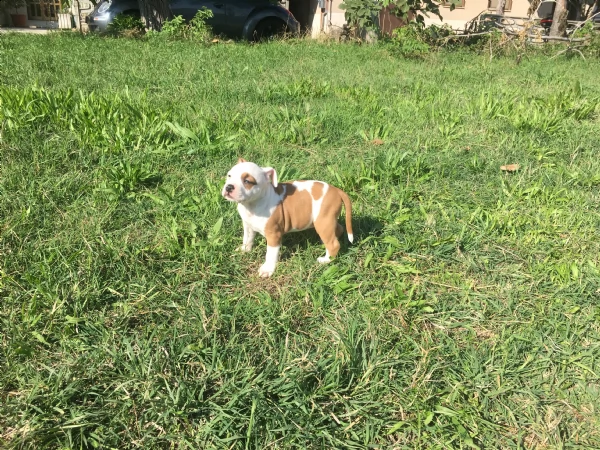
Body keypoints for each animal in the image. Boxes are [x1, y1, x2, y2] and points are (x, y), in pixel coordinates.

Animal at [220, 158, 352, 278]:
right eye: (229, 175)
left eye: (247, 181)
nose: (229, 187)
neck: (252, 204)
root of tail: (337, 190)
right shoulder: (248, 225)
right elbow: (247, 239)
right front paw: (245, 250)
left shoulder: (274, 235)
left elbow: (270, 254)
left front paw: (267, 270)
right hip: (328, 220)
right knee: (338, 230)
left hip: (323, 221)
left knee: (334, 244)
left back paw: (325, 260)